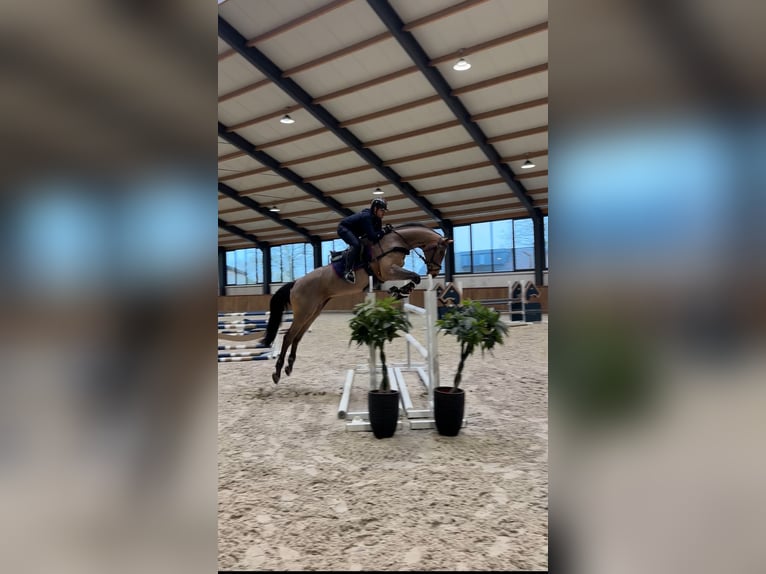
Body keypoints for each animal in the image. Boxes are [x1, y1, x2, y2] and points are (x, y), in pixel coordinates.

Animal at [260, 223, 452, 384]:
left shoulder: (386, 274)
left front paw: (399, 291)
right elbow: (415, 276)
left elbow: (412, 278)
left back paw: (289, 366)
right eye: (440, 251)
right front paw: (402, 290)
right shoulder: (388, 271)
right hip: (304, 312)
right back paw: (277, 372)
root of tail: (296, 283)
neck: (396, 241)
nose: (434, 273)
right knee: (288, 336)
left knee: (298, 337)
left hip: (313, 311)